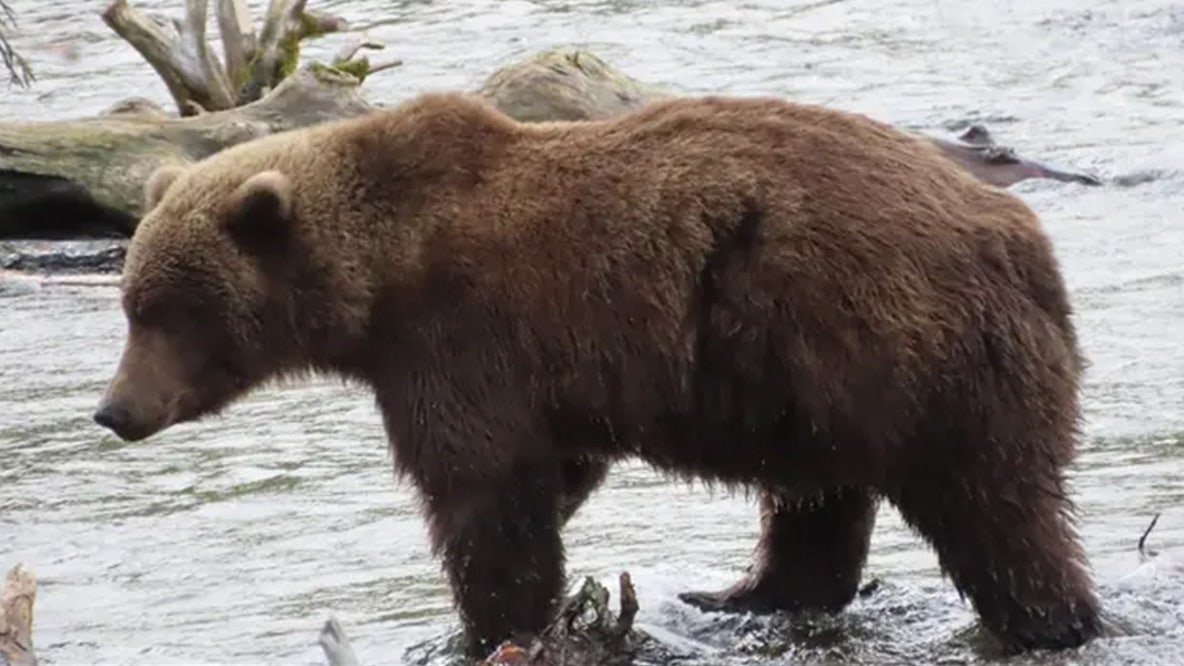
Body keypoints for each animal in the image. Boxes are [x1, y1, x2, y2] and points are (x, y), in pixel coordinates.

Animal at [92, 90, 1103, 658]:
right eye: (132, 301)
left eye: (168, 310)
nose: (114, 409)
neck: (382, 276)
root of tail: (1021, 235)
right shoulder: (534, 373)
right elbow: (552, 471)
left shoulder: (461, 339)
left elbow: (485, 493)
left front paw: (489, 625)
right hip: (818, 377)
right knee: (819, 498)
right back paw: (743, 594)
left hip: (907, 343)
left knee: (992, 508)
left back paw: (1049, 620)